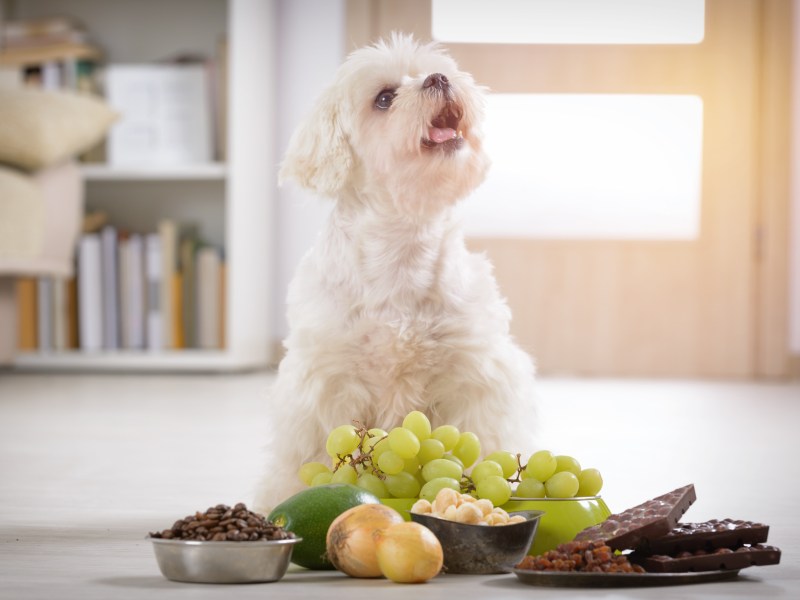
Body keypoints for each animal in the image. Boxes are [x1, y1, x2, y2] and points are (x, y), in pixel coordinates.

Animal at [253, 34, 536, 510]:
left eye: (436, 70)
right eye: (384, 98)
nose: (439, 79)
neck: (402, 249)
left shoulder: (474, 377)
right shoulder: (329, 385)